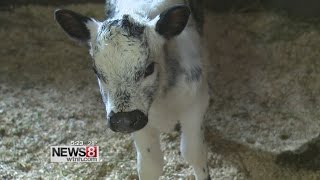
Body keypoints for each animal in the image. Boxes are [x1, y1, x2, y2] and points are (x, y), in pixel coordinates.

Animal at [55, 0, 210, 179]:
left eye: (149, 68)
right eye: (96, 71)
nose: (123, 120)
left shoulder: (196, 102)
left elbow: (194, 154)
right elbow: (151, 165)